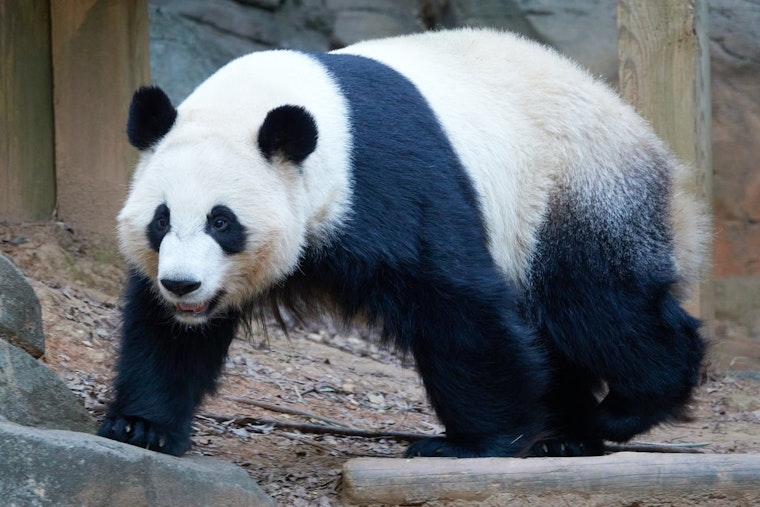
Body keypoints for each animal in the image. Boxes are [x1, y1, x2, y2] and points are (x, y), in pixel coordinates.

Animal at [98, 28, 708, 458]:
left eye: (223, 222)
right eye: (161, 221)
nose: (183, 284)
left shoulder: (381, 178)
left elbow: (455, 302)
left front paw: (472, 443)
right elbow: (166, 334)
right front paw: (142, 425)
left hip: (572, 193)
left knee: (597, 306)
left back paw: (628, 406)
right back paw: (569, 432)